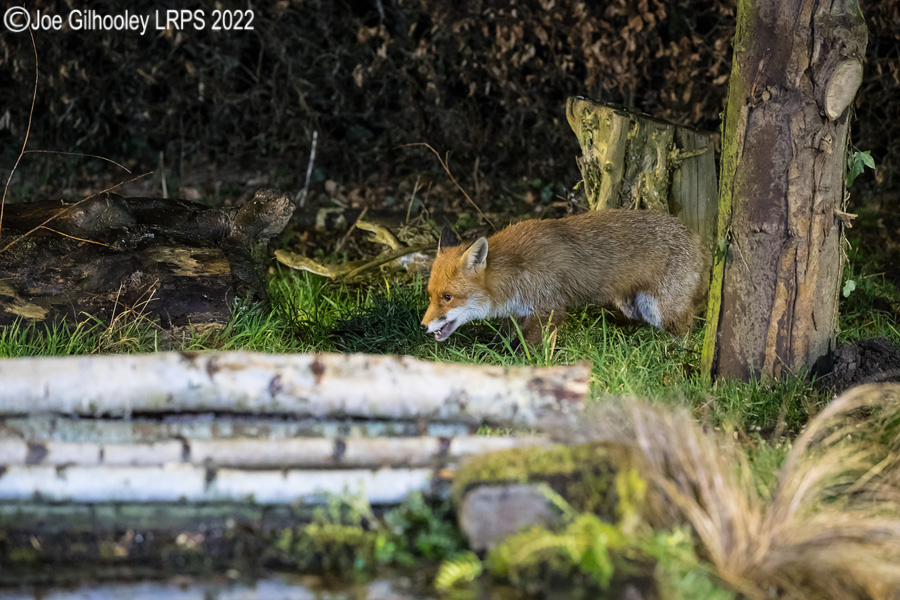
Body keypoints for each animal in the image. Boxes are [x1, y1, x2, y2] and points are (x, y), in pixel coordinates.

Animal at [421, 209, 706, 346]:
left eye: (448, 297)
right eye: (431, 296)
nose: (422, 326)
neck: (513, 272)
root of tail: (696, 236)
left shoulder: (548, 310)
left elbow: (529, 351)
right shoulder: (517, 312)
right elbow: (503, 338)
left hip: (662, 310)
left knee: (686, 329)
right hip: (634, 306)